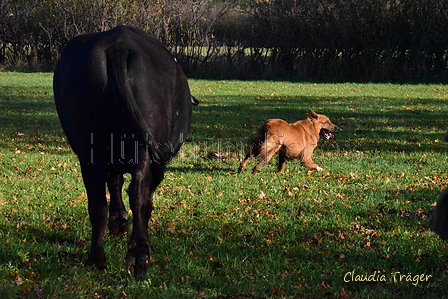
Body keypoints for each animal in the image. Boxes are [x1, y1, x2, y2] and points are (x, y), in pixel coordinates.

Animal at [53, 26, 199, 282]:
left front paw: (118, 220)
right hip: (143, 150)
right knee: (138, 190)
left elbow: (114, 182)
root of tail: (118, 47)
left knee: (97, 202)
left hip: (89, 150)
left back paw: (97, 259)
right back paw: (139, 255)